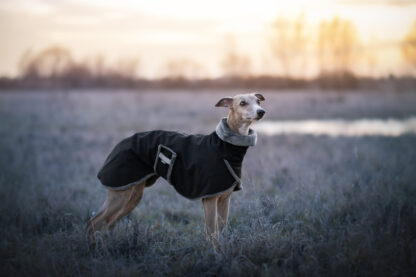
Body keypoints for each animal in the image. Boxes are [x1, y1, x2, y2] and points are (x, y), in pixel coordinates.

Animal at [86, 91, 264, 240]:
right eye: (242, 103)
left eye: (257, 101)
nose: (261, 112)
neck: (224, 145)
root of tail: (119, 144)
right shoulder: (210, 199)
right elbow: (211, 234)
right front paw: (214, 255)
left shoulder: (224, 199)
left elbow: (222, 231)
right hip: (120, 193)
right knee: (93, 222)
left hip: (132, 195)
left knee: (110, 223)